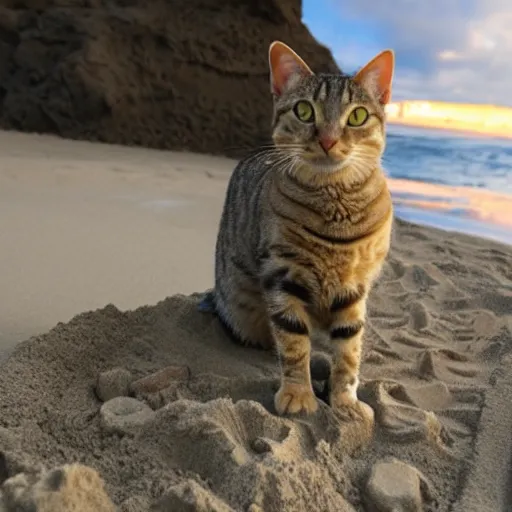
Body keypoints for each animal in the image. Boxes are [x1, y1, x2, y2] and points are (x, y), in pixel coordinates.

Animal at [206, 41, 394, 416]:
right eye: (305, 111)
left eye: (357, 116)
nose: (328, 141)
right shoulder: (283, 274)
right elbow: (293, 342)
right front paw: (298, 393)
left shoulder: (355, 286)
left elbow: (349, 349)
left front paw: (345, 399)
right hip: (239, 311)